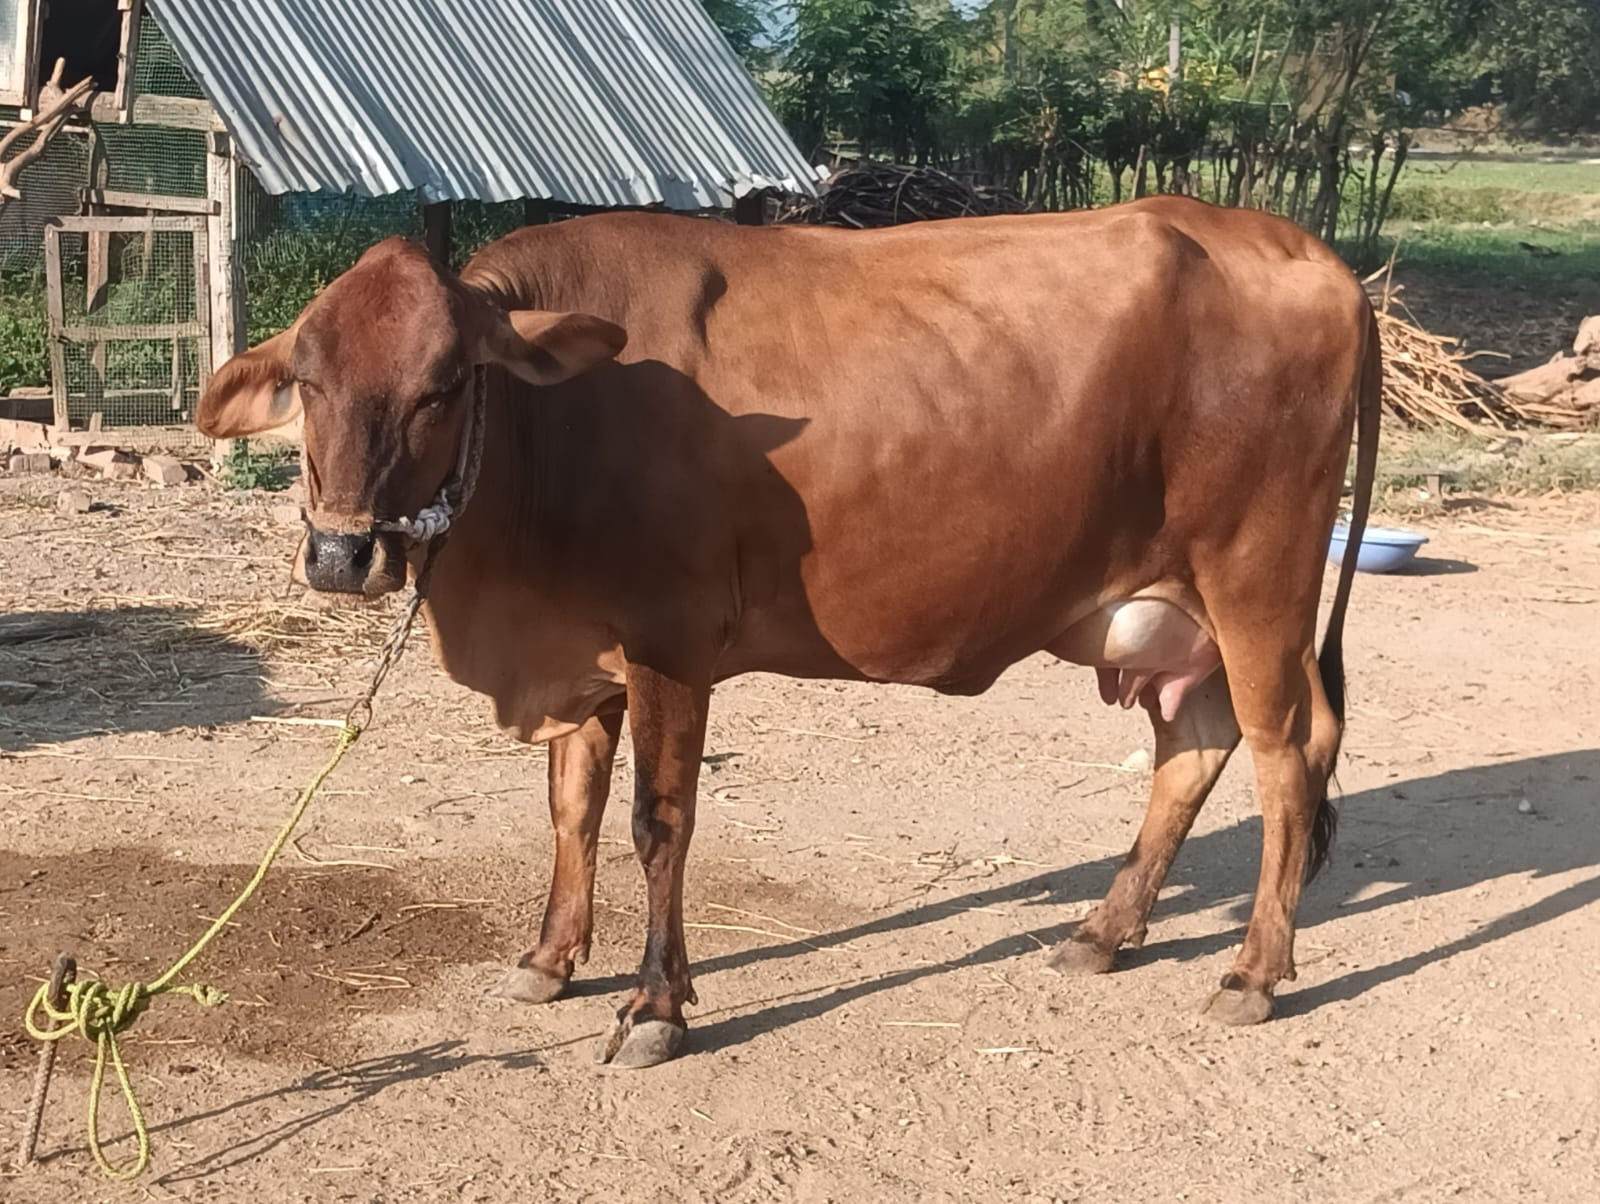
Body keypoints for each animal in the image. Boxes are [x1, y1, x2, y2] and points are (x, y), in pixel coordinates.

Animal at [196, 195, 1379, 1069]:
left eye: (442, 387)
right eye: (306, 380)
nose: (338, 554)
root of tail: (1307, 253)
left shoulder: (672, 643)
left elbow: (657, 824)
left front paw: (655, 1007)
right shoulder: (587, 655)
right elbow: (572, 810)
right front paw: (550, 957)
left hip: (1258, 582)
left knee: (1288, 756)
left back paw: (1252, 972)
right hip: (1178, 609)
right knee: (1196, 747)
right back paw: (1102, 932)